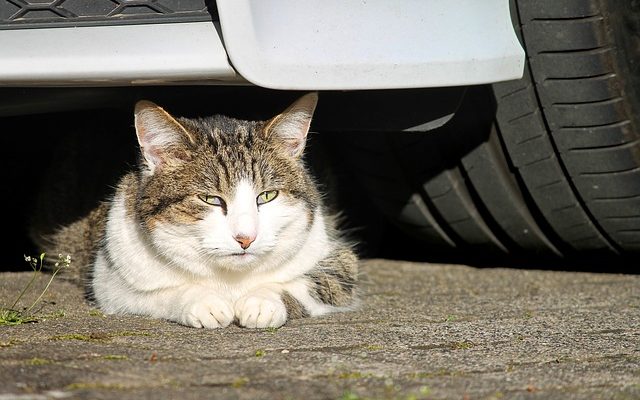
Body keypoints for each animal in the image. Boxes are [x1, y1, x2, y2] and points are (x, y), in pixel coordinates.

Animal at [42, 94, 358, 328]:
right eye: (210, 199)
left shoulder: (339, 260)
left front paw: (262, 301)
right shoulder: (111, 279)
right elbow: (156, 293)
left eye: (267, 196)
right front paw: (203, 301)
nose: (246, 238)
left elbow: (310, 282)